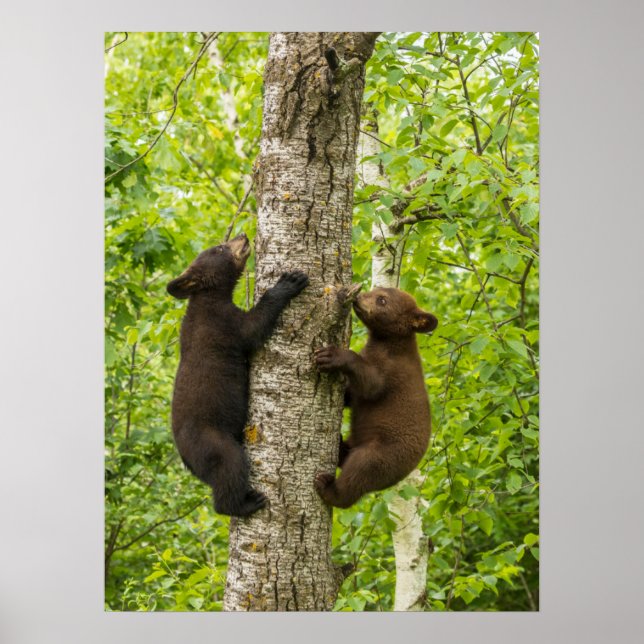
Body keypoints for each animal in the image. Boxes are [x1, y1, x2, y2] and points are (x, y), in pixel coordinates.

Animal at [167, 232, 309, 517]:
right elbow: (253, 328)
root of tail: (186, 460)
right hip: (213, 442)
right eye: (219, 248)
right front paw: (288, 282)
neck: (207, 298)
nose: (242, 235)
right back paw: (246, 503)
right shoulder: (222, 323)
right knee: (230, 467)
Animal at [314, 286, 438, 508]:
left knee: (359, 472)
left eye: (382, 300)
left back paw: (328, 489)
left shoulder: (393, 371)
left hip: (384, 455)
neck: (389, 343)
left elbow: (371, 385)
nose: (358, 296)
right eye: (376, 289)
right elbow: (352, 394)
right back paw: (340, 446)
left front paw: (332, 355)